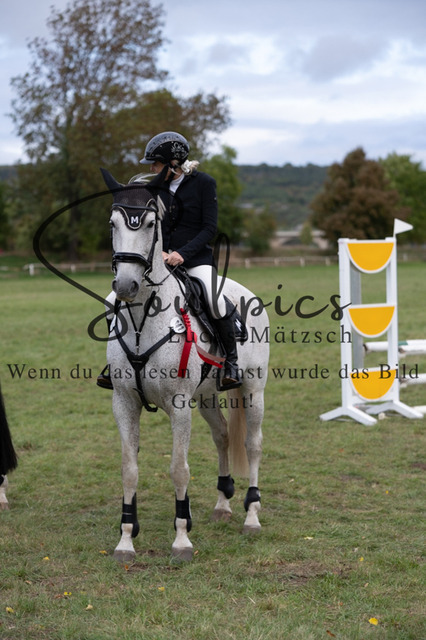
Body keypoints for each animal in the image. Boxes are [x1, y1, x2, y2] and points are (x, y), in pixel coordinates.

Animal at [101, 169, 269, 561]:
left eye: (150, 224)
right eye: (112, 223)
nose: (126, 285)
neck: (143, 320)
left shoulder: (178, 405)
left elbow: (179, 468)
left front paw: (181, 539)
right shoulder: (123, 403)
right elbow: (129, 469)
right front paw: (126, 539)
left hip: (253, 390)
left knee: (252, 444)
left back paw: (251, 516)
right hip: (206, 397)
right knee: (223, 435)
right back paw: (223, 504)